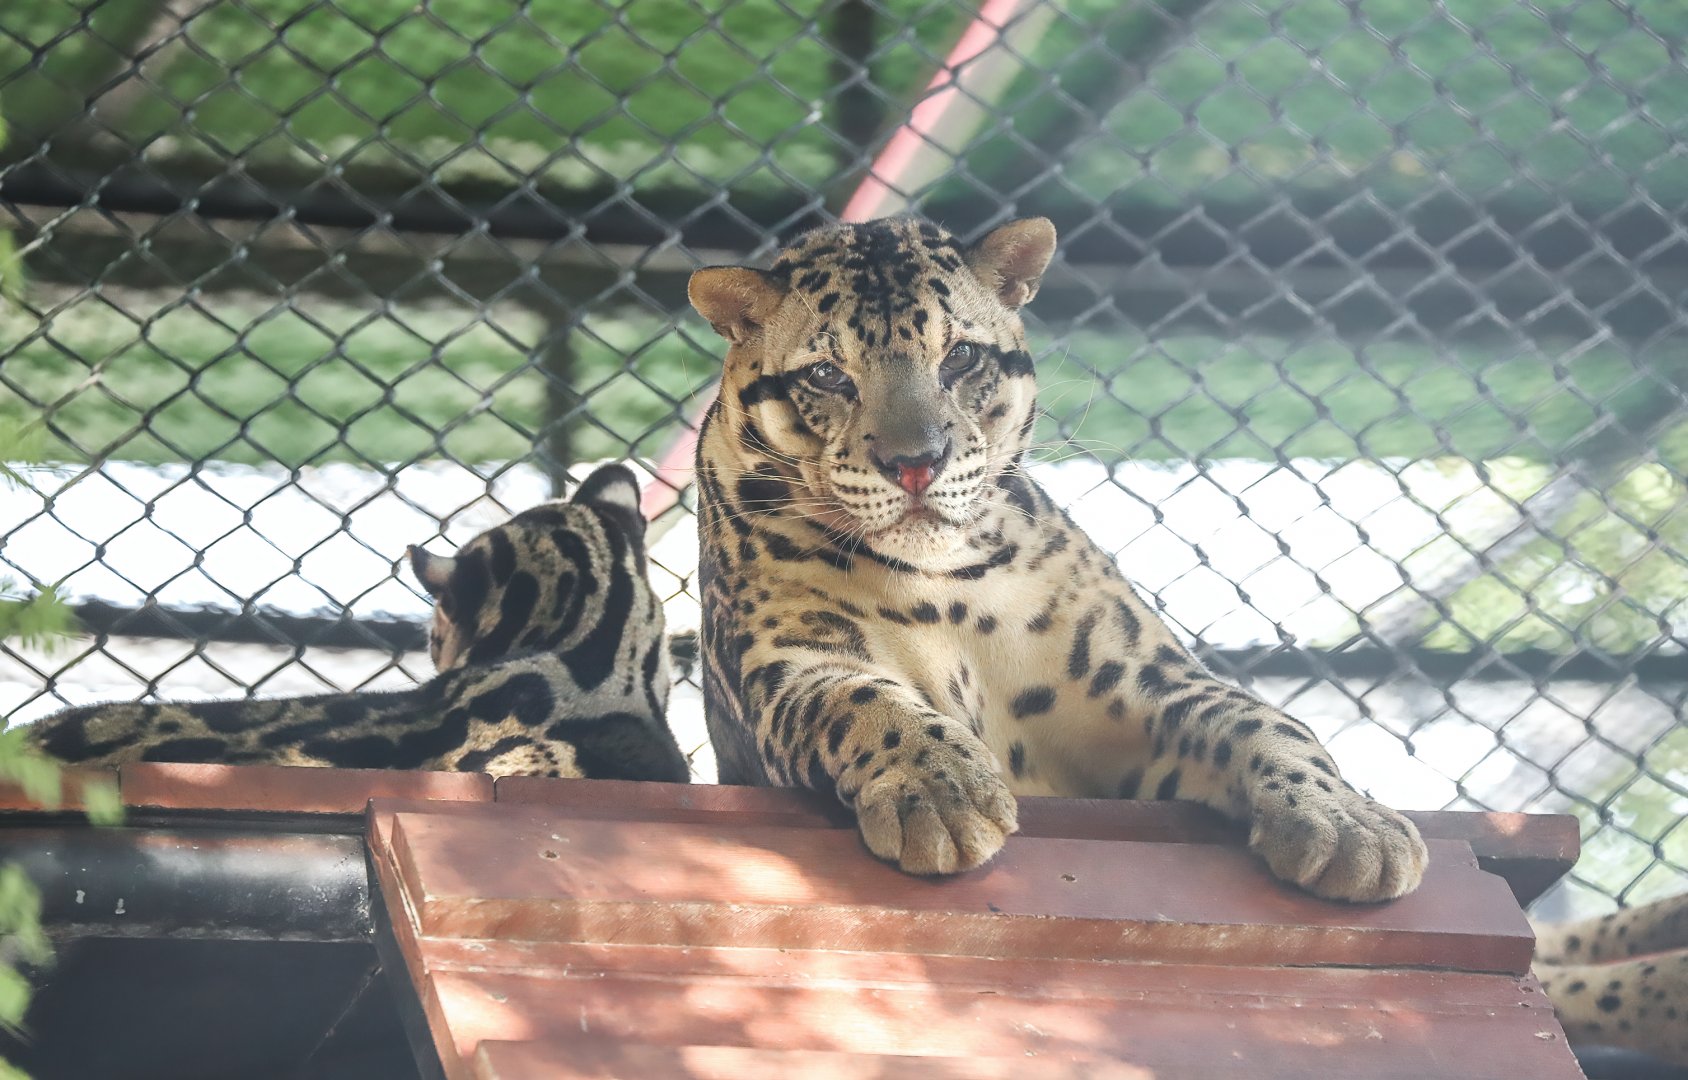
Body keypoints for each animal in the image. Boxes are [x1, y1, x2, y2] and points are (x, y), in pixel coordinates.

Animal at [686, 215, 1428, 902]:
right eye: (826, 375)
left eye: (961, 358)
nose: (916, 464)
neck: (940, 585)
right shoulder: (793, 663)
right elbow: (865, 700)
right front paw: (943, 790)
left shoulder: (1140, 673)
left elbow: (1257, 717)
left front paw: (1351, 823)